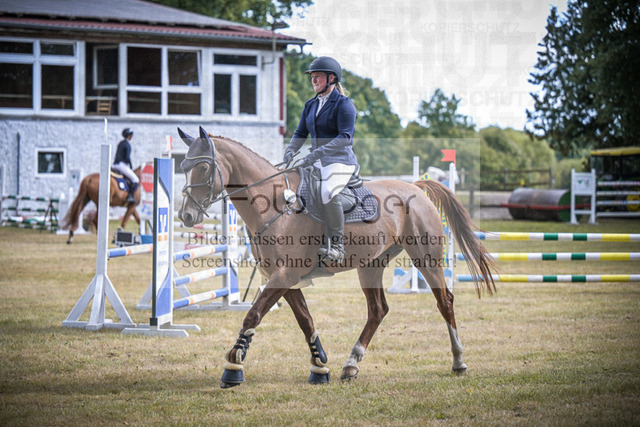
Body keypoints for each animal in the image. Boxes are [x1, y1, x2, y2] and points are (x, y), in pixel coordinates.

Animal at [177, 127, 496, 388]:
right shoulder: (286, 278)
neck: (275, 204)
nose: (186, 216)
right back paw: (351, 364)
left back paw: (458, 361)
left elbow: (253, 314)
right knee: (378, 310)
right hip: (371, 264)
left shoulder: (284, 275)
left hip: (425, 257)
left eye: (203, 166)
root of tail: (415, 187)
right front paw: (319, 366)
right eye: (182, 167)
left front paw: (233, 365)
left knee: (445, 301)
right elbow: (305, 320)